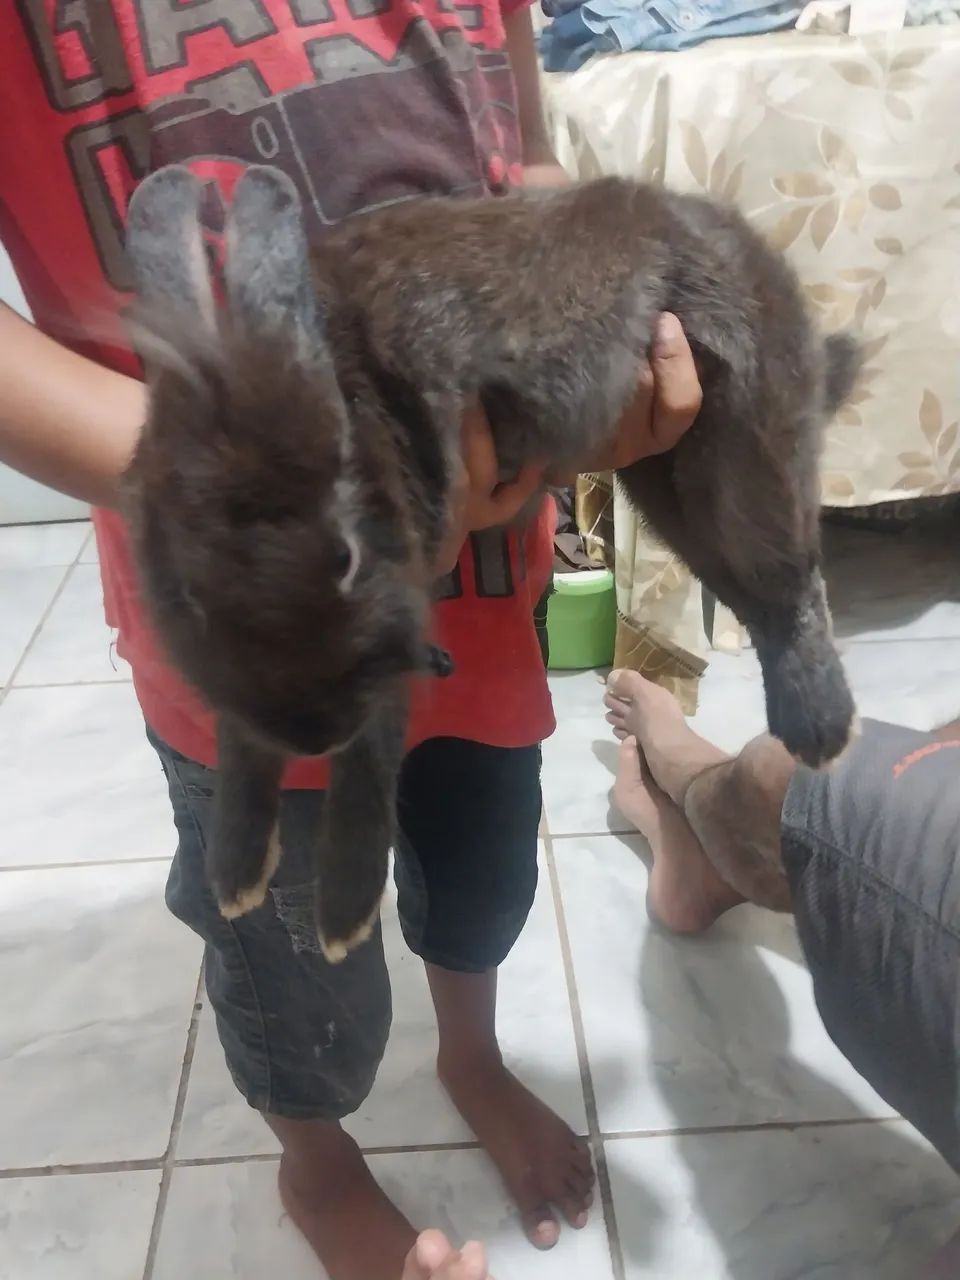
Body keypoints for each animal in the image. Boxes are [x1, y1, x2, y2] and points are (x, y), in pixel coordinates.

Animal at [123, 163, 860, 962]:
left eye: (346, 556)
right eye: (187, 592)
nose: (312, 734)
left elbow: (366, 768)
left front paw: (343, 919)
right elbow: (242, 751)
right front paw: (236, 876)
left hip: (744, 451)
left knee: (790, 583)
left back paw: (821, 736)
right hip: (667, 480)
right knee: (753, 591)